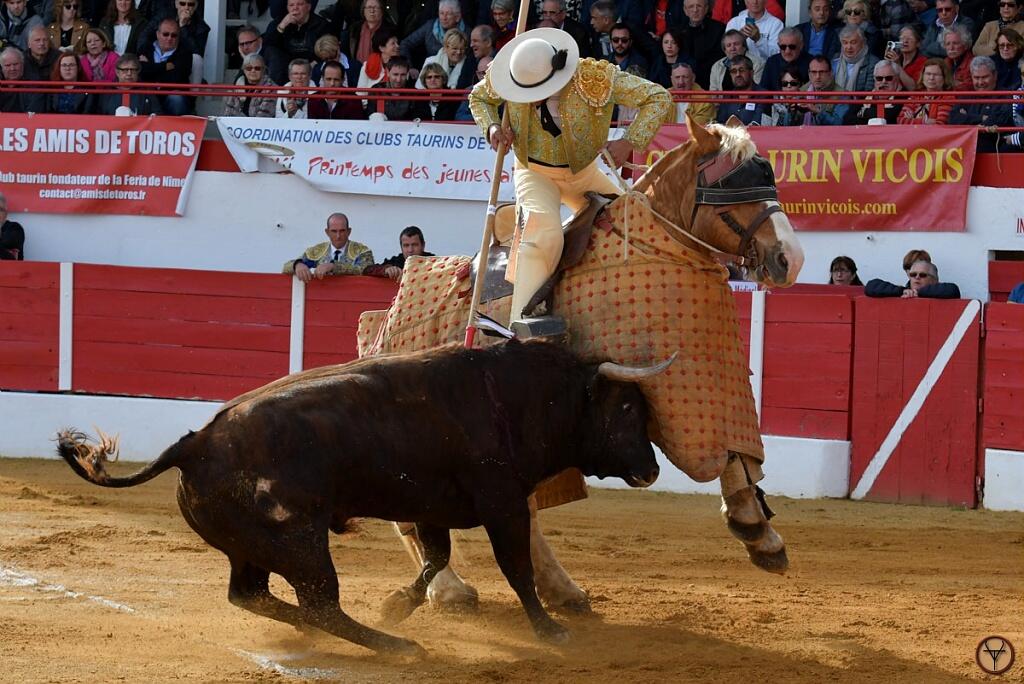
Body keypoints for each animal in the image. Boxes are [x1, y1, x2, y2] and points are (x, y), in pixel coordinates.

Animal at [54, 344, 671, 655]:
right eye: (624, 409)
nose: (649, 469)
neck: (522, 394)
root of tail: (195, 442)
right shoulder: (503, 504)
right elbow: (514, 568)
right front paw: (549, 630)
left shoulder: (432, 507)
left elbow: (437, 557)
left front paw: (398, 601)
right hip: (301, 543)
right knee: (320, 602)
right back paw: (395, 646)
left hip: (252, 547)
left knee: (251, 595)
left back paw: (343, 630)